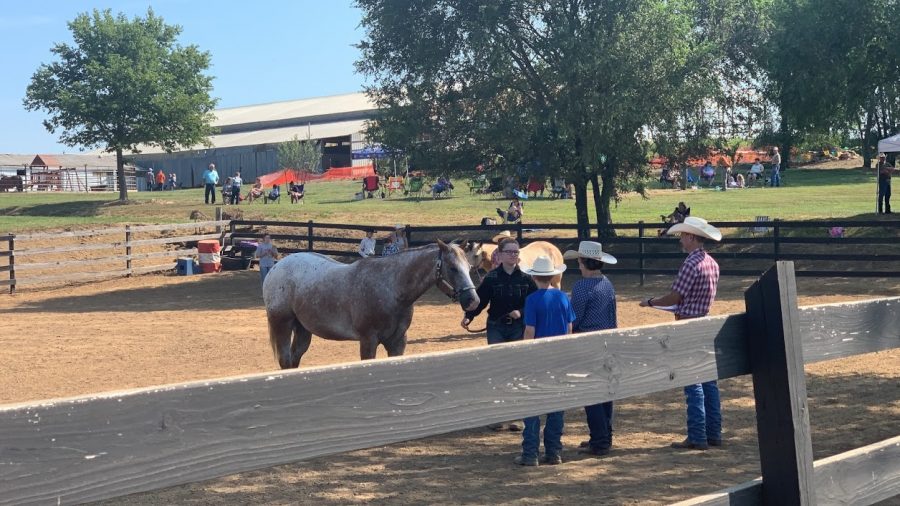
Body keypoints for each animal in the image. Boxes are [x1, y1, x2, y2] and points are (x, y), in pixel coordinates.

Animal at [260, 241, 478, 368]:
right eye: (453, 268)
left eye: (469, 267)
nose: (473, 301)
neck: (391, 288)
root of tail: (277, 267)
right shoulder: (368, 341)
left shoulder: (397, 342)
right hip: (282, 324)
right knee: (286, 360)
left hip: (303, 329)